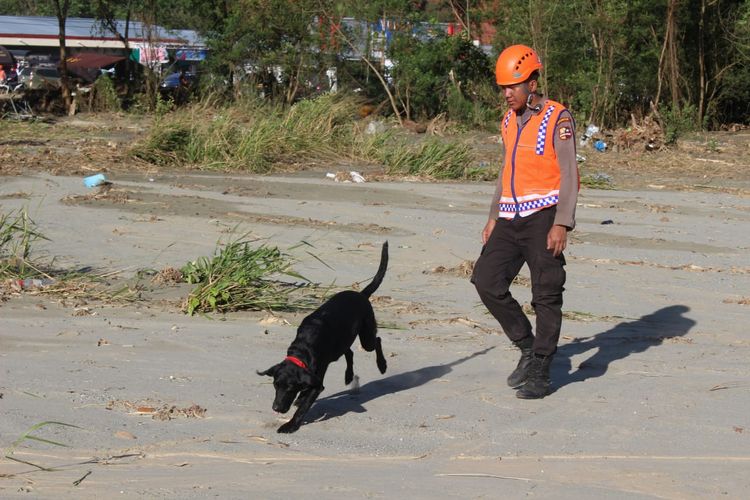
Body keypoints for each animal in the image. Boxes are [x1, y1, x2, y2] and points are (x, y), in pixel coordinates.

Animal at [258, 242, 390, 434]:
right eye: (275, 384)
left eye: (290, 388)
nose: (276, 408)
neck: (302, 350)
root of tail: (361, 294)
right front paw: (299, 400)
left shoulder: (317, 384)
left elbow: (303, 407)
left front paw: (290, 425)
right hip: (344, 340)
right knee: (349, 352)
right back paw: (348, 376)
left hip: (367, 338)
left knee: (377, 342)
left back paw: (382, 365)